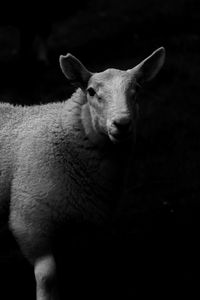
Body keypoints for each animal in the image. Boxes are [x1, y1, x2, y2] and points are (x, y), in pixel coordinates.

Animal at [0, 45, 166, 298]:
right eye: (90, 91)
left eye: (136, 89)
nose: (122, 124)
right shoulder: (30, 222)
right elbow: (47, 276)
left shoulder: (83, 227)